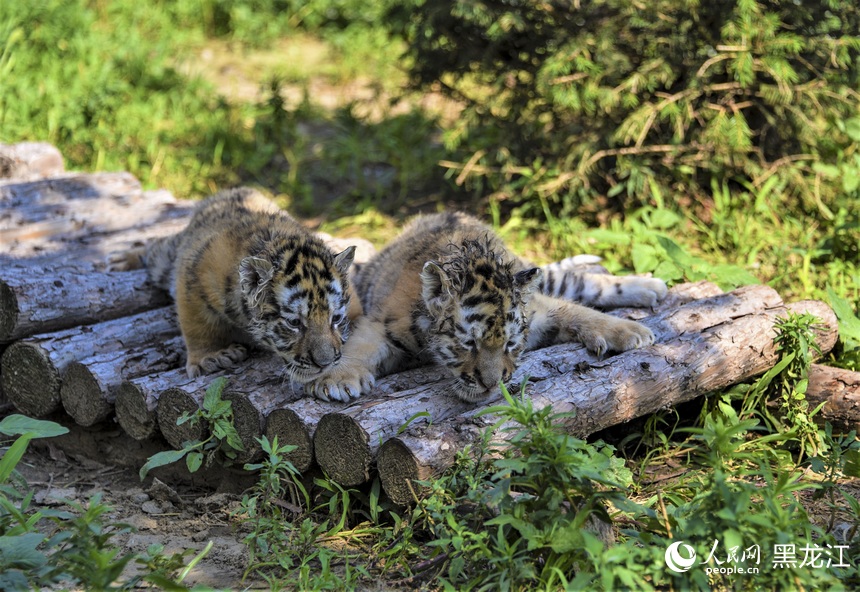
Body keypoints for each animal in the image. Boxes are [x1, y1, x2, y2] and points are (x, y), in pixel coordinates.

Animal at [110, 187, 357, 380]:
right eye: (294, 323)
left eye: (335, 319)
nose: (325, 363)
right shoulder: (193, 275)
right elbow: (196, 324)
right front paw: (210, 357)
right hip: (165, 260)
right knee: (155, 247)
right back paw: (120, 260)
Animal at [305, 211, 666, 403]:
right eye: (468, 344)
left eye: (510, 344)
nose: (492, 385)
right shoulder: (381, 323)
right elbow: (358, 347)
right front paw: (338, 379)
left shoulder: (539, 308)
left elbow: (579, 311)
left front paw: (628, 330)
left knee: (582, 282)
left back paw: (651, 287)